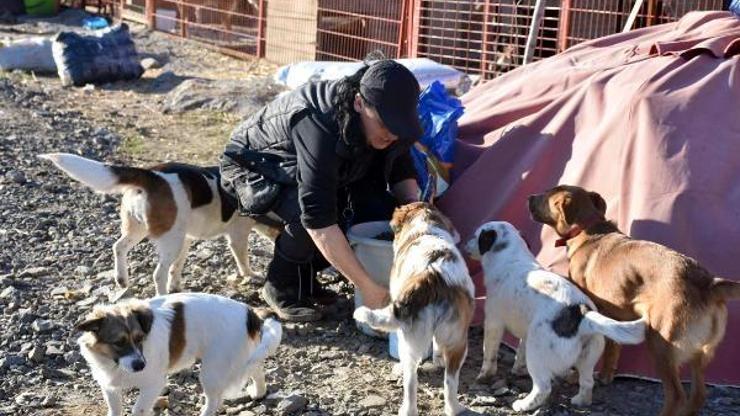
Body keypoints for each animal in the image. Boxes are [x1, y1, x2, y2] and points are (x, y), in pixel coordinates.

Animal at [39, 154, 278, 296]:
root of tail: (151, 174)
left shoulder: (187, 239)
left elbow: (177, 266)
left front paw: (176, 286)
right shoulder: (237, 237)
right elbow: (243, 261)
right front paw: (251, 275)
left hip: (142, 229)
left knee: (119, 247)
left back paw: (122, 279)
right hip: (170, 239)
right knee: (157, 274)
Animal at [76, 292, 282, 416]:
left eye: (139, 338)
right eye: (119, 342)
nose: (141, 365)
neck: (114, 363)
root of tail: (250, 312)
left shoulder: (153, 384)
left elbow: (138, 409)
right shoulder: (109, 387)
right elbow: (115, 409)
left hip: (212, 371)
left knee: (214, 400)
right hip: (241, 359)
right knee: (256, 369)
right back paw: (259, 392)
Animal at [354, 202, 474, 416]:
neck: (425, 228)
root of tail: (432, 276)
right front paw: (437, 359)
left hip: (409, 341)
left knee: (410, 381)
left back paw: (407, 409)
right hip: (457, 341)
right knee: (450, 382)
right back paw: (454, 408)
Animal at [468, 223, 648, 412]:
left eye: (476, 236)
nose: (465, 244)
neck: (511, 256)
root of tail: (582, 313)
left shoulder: (493, 322)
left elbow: (489, 354)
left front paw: (484, 376)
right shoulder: (527, 333)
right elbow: (520, 352)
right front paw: (518, 370)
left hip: (538, 353)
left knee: (543, 387)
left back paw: (523, 405)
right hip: (587, 356)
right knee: (587, 382)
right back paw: (580, 401)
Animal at [528, 185, 740, 416]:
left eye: (549, 195)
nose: (529, 197)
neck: (588, 227)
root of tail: (708, 283)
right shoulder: (614, 314)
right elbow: (613, 349)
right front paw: (606, 376)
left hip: (661, 343)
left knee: (676, 395)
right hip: (699, 353)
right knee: (698, 395)